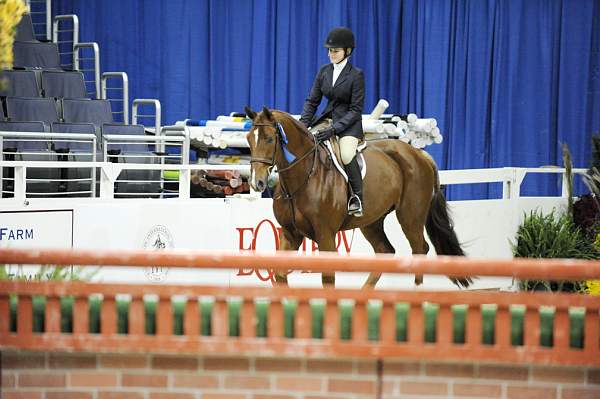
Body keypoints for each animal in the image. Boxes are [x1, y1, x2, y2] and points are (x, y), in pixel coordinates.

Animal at [246, 106, 472, 290]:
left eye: (269, 138)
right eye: (249, 139)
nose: (257, 183)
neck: (303, 178)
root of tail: (419, 154)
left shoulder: (325, 234)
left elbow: (328, 279)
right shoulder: (290, 233)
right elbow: (279, 275)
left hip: (410, 216)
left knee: (419, 250)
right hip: (372, 221)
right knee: (385, 251)